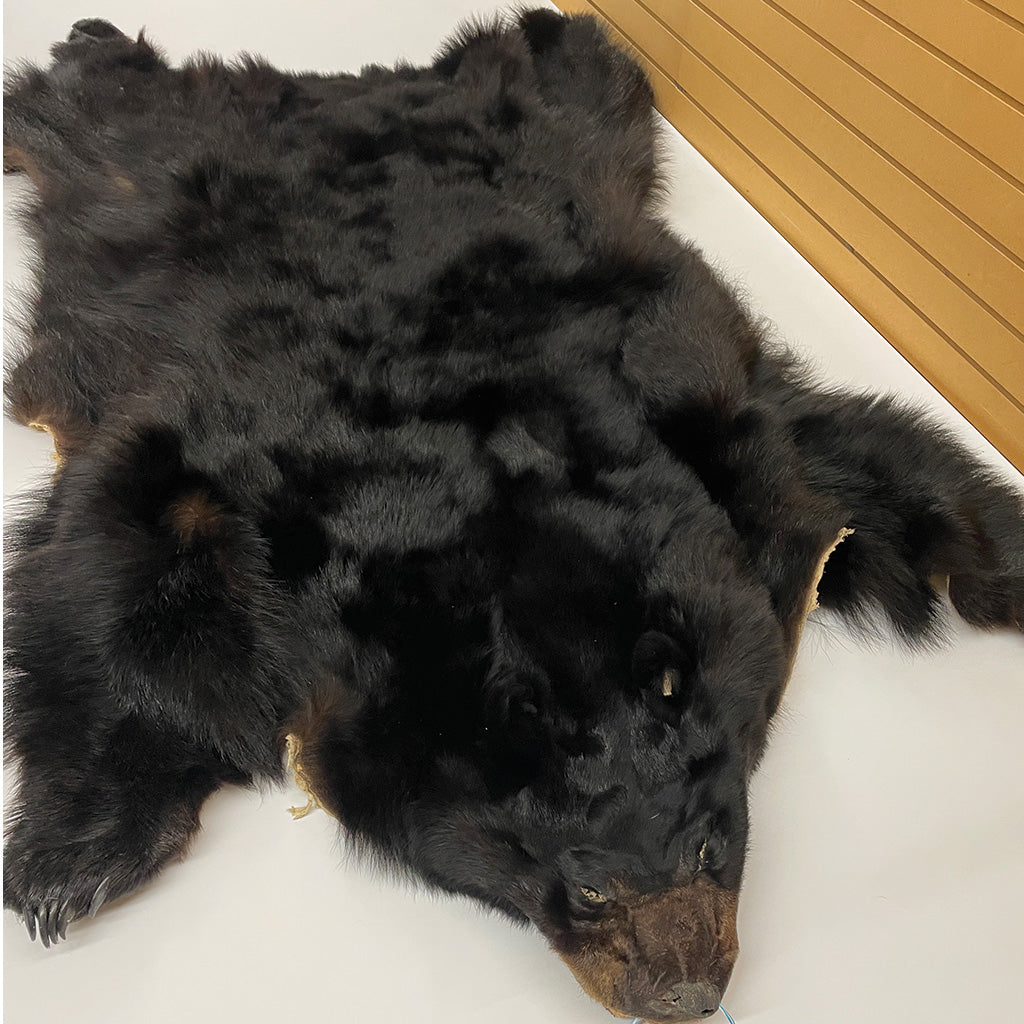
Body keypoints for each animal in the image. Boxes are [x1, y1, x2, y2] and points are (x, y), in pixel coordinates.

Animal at [3, 11, 1022, 1023]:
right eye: (588, 887)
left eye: (711, 844)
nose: (688, 992)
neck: (495, 483)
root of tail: (345, 82)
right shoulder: (227, 436)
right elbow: (106, 561)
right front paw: (69, 864)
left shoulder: (703, 402)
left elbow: (852, 451)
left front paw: (1001, 564)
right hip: (137, 138)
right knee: (80, 92)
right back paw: (79, 50)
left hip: (585, 101)